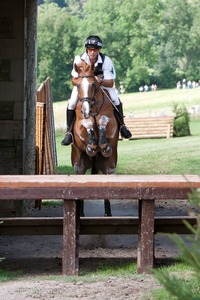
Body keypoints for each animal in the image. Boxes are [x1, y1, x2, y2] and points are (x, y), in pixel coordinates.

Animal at [71, 61, 119, 216]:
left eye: (93, 85)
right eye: (78, 85)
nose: (86, 111)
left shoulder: (110, 121)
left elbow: (103, 120)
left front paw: (103, 144)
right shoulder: (80, 125)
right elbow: (87, 123)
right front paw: (92, 144)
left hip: (108, 164)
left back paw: (108, 213)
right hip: (79, 164)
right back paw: (80, 212)